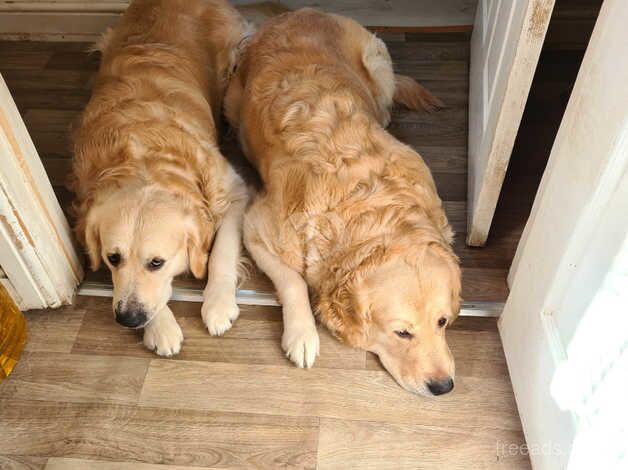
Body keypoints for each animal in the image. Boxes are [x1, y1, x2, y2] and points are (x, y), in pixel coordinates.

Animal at [73, 0, 250, 352]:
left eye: (157, 262)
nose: (128, 319)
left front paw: (218, 304)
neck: (143, 157)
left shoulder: (233, 189)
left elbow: (222, 250)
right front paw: (161, 327)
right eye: (113, 258)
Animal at [226, 9, 462, 394]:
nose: (443, 387)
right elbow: (292, 280)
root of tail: (297, 12)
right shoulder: (258, 225)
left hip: (376, 60)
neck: (374, 211)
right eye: (402, 332)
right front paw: (302, 335)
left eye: (443, 321)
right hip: (231, 101)